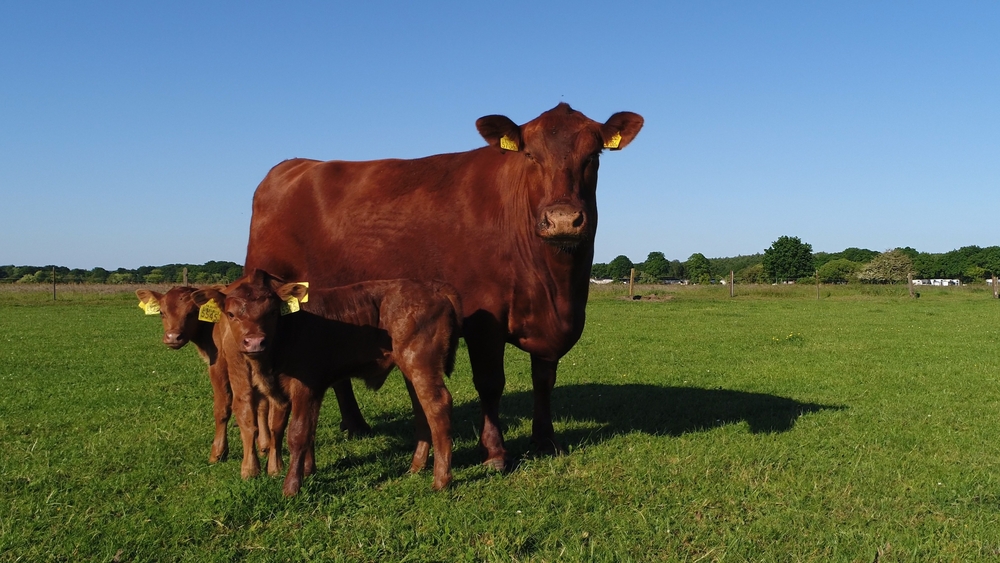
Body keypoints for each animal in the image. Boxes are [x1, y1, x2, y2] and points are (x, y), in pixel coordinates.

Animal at [191, 270, 460, 496]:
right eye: (231, 314)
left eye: (272, 312)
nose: (255, 342)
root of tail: (433, 286)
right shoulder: (309, 389)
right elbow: (308, 429)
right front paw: (308, 471)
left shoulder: (305, 385)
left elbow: (298, 433)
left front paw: (291, 486)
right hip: (412, 370)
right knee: (422, 411)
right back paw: (416, 467)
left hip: (421, 363)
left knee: (438, 406)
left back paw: (441, 479)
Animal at [246, 101, 644, 468]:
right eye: (531, 155)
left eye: (592, 156)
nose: (562, 219)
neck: (555, 284)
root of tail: (294, 165)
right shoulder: (484, 317)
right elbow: (490, 382)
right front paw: (495, 452)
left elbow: (544, 379)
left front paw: (545, 440)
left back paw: (355, 424)